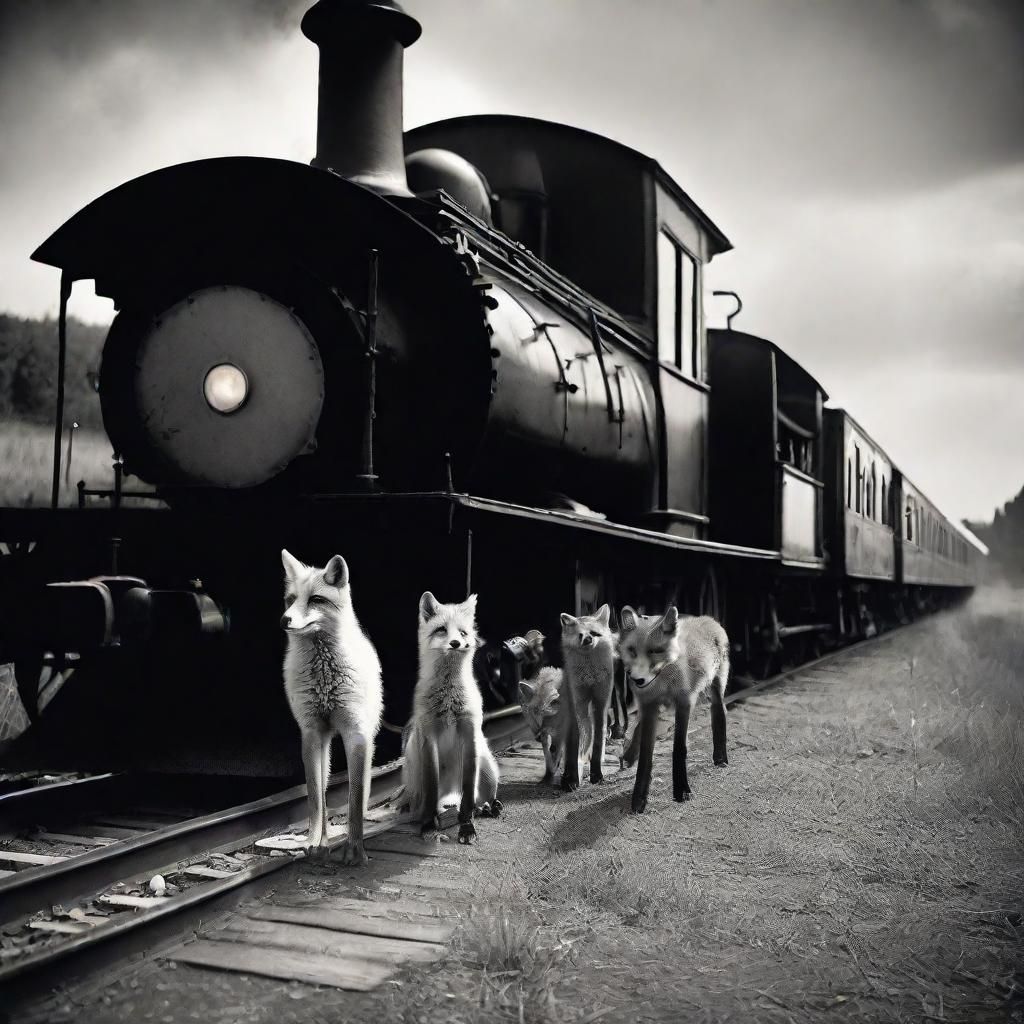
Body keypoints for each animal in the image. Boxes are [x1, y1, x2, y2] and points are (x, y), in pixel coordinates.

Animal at [280, 550, 383, 865]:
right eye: (290, 599)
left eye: (315, 599)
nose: (284, 620)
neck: (324, 675)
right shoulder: (312, 732)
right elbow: (317, 799)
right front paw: (317, 844)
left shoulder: (355, 735)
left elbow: (354, 798)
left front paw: (355, 849)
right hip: (324, 746)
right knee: (323, 793)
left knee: (362, 790)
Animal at [401, 592, 502, 844]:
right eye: (441, 630)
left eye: (463, 633)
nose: (456, 643)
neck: (448, 700)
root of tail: (450, 790)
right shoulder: (428, 738)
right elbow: (431, 793)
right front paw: (429, 825)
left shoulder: (470, 732)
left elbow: (467, 799)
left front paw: (466, 827)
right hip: (414, 769)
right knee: (426, 802)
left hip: (488, 770)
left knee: (481, 798)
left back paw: (489, 807)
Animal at [559, 605, 615, 791]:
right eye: (580, 635)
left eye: (594, 633)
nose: (588, 639)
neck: (589, 676)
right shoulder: (579, 702)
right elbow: (580, 742)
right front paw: (575, 777)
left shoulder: (601, 701)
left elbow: (597, 742)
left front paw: (597, 774)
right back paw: (568, 776)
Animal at [617, 607, 729, 814]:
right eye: (632, 651)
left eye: (655, 651)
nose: (637, 680)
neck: (663, 682)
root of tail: (707, 618)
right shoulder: (649, 705)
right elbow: (645, 755)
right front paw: (639, 798)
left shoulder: (684, 703)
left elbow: (679, 749)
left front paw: (682, 790)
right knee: (638, 728)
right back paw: (629, 756)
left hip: (715, 686)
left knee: (719, 712)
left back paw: (720, 756)